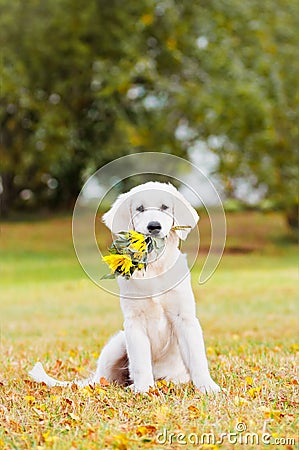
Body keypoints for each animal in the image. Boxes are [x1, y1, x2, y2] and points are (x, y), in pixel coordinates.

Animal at [29, 181, 220, 392]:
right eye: (140, 209)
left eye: (164, 207)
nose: (154, 226)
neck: (153, 265)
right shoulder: (134, 322)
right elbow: (140, 362)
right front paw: (144, 390)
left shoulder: (184, 318)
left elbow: (197, 358)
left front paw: (207, 387)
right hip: (118, 343)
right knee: (104, 378)